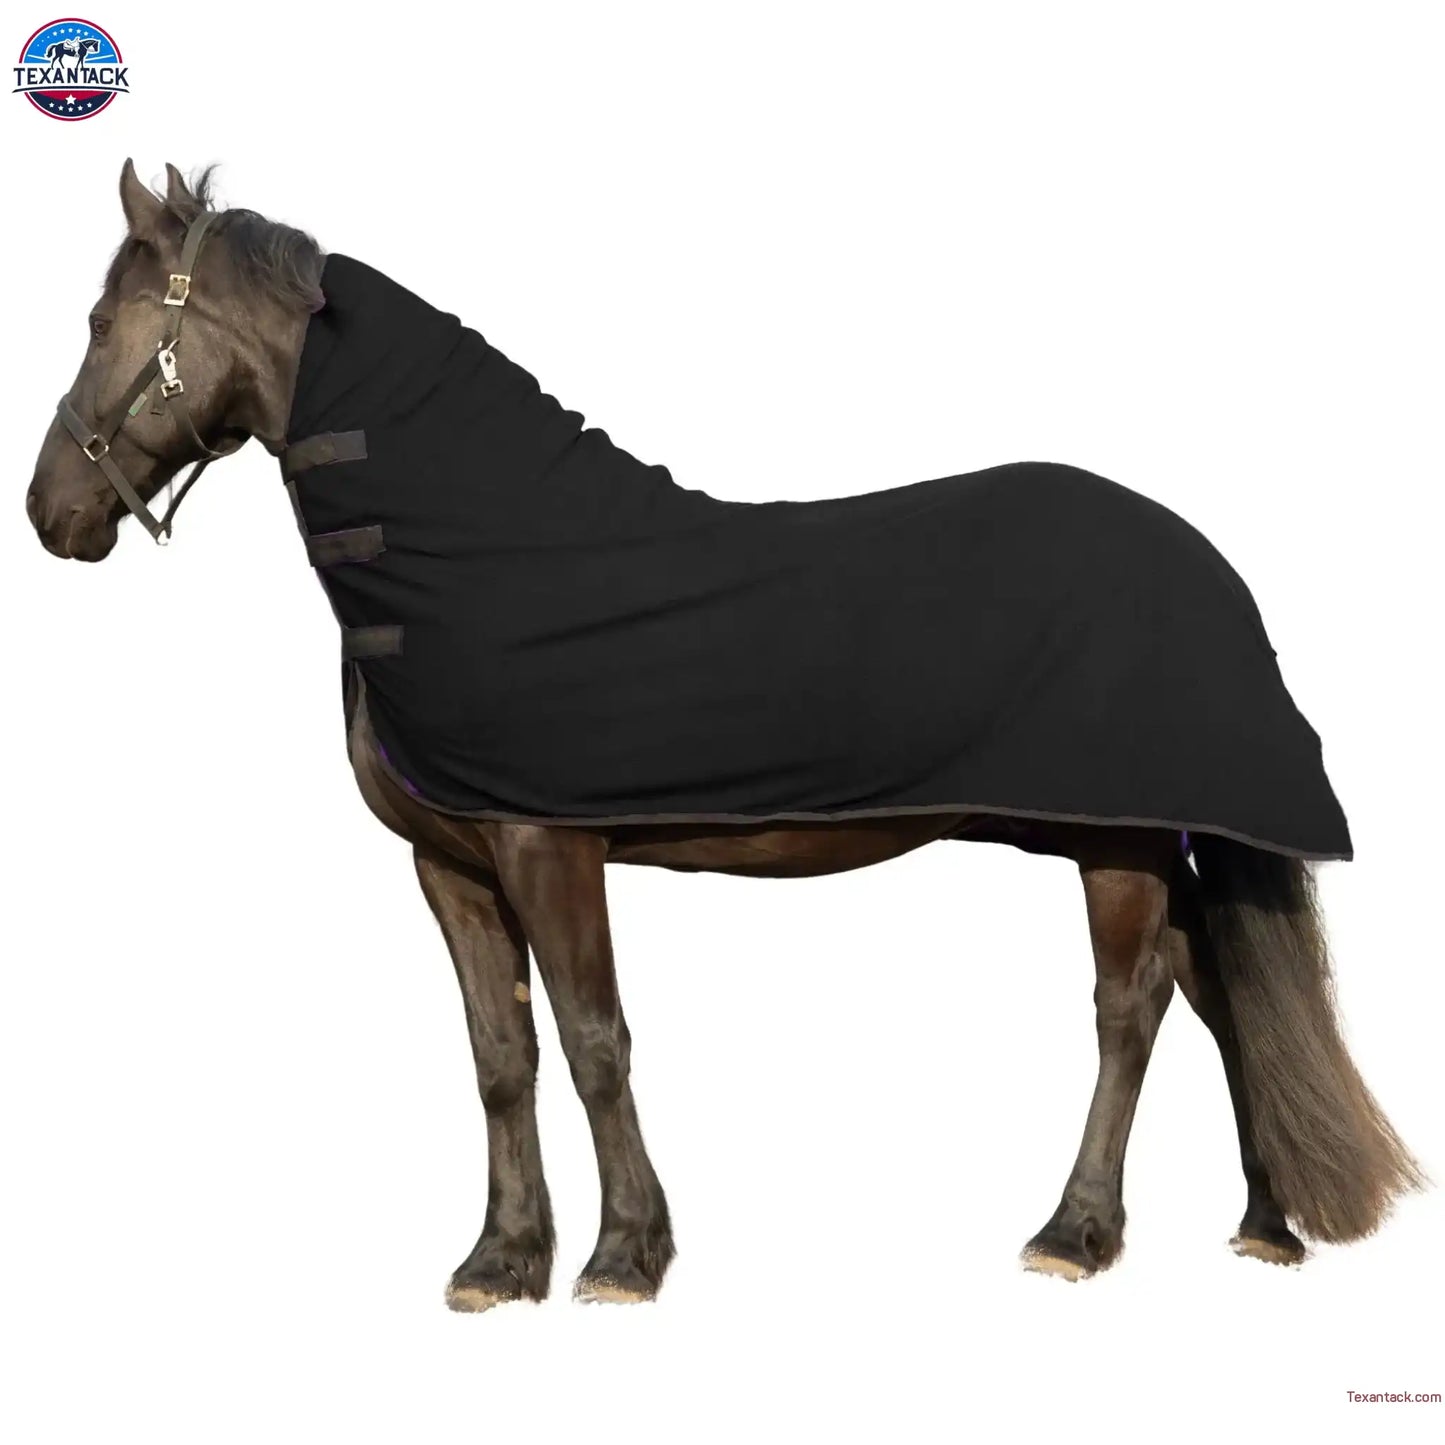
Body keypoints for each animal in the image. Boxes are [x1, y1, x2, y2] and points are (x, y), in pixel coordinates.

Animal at [24, 160, 1421, 1309]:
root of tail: (1208, 567)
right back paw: (1264, 1223)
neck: (480, 546)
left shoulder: (547, 845)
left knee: (1130, 1007)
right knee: (1217, 988)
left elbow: (594, 1041)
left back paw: (1073, 1233)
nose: (51, 511)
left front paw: (622, 1256)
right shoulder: (450, 863)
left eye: (101, 325)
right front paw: (499, 1260)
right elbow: (500, 1056)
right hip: (1115, 834)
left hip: (1113, 842)